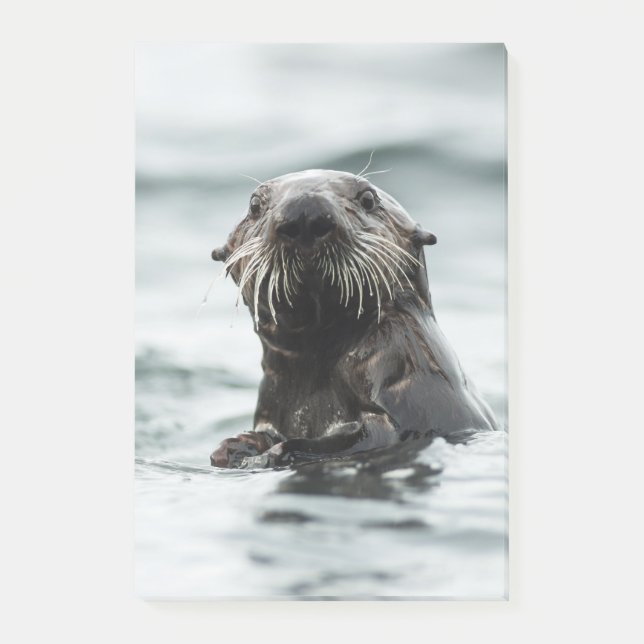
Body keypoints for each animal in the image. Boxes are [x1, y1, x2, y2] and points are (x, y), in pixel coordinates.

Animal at [209, 170, 497, 468]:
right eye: (255, 205)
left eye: (368, 199)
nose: (304, 213)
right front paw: (236, 447)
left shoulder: (407, 378)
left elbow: (370, 436)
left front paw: (272, 453)